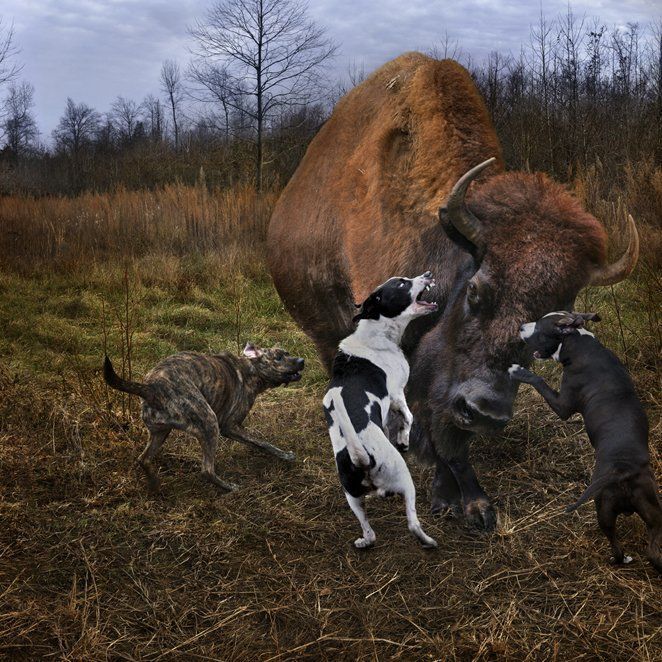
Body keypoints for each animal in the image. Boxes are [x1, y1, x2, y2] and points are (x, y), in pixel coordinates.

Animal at [103, 344, 304, 496]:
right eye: (278, 357)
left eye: (287, 353)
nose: (302, 361)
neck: (250, 370)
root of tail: (151, 388)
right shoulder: (230, 426)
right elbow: (262, 443)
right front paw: (284, 455)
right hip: (209, 422)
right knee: (206, 470)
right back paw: (229, 487)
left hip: (161, 432)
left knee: (143, 459)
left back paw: (154, 485)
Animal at [322, 272, 438, 552]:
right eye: (402, 283)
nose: (428, 274)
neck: (376, 333)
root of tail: (362, 458)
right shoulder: (397, 393)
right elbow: (408, 418)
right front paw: (404, 440)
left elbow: (390, 422)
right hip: (404, 479)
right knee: (412, 523)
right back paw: (429, 541)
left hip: (352, 496)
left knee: (369, 530)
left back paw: (364, 540)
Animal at [510, 314, 660, 572]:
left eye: (538, 326)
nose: (520, 326)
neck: (579, 343)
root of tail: (623, 470)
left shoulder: (563, 406)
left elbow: (539, 381)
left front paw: (519, 371)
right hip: (652, 511)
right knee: (653, 550)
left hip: (603, 508)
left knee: (618, 548)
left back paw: (619, 559)